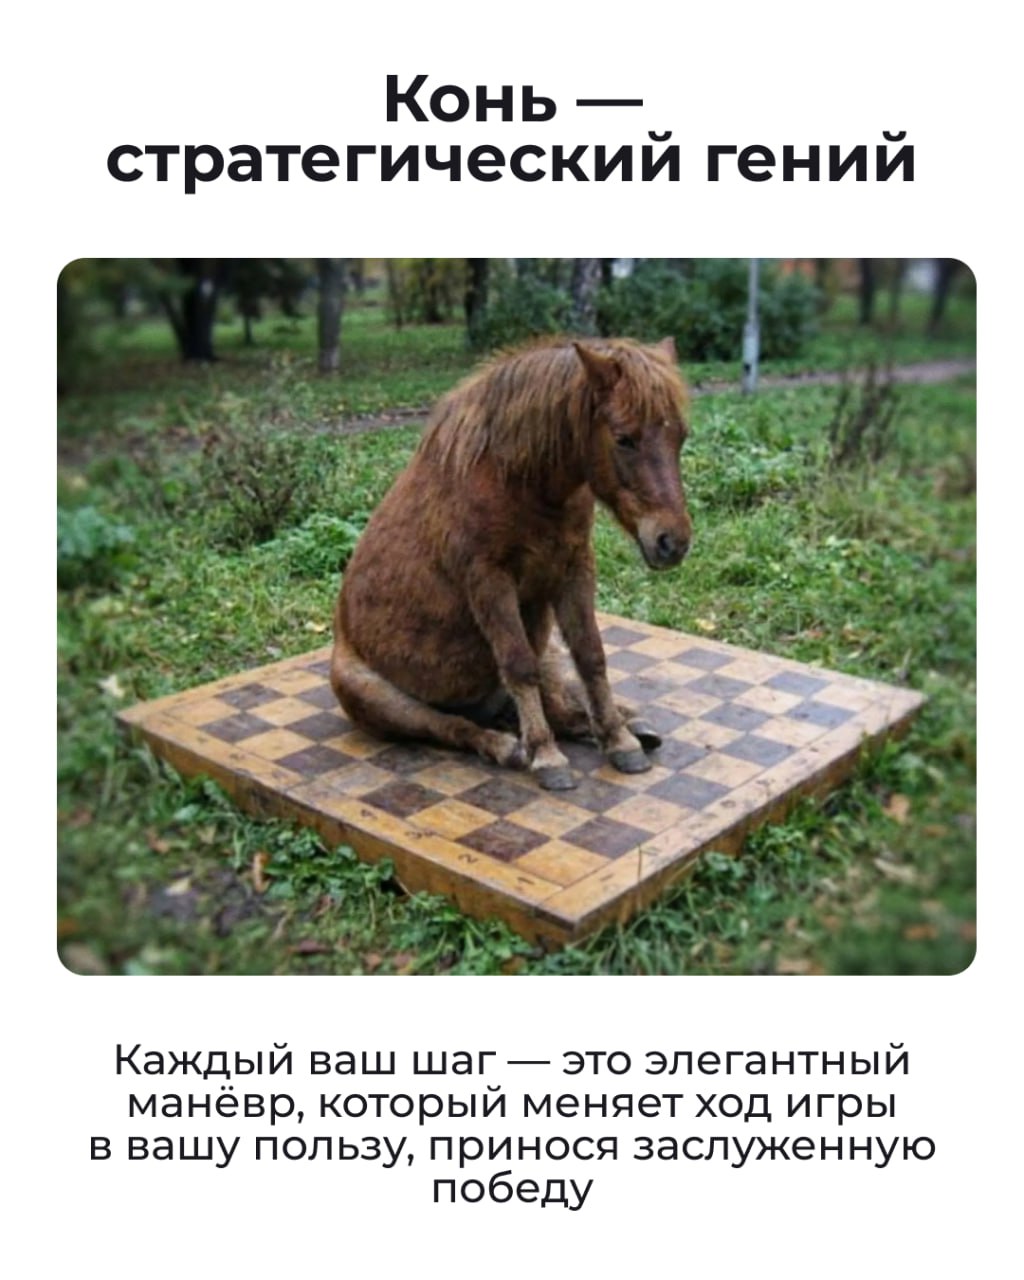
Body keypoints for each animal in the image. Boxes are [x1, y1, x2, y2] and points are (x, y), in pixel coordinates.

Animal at [330, 336, 692, 791]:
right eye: (624, 438)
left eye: (680, 436)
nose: (672, 542)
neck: (515, 477)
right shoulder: (489, 579)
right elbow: (519, 665)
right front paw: (548, 757)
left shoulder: (574, 569)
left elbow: (591, 655)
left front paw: (618, 741)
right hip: (373, 696)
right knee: (451, 726)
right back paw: (509, 746)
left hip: (547, 649)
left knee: (559, 705)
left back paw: (626, 726)